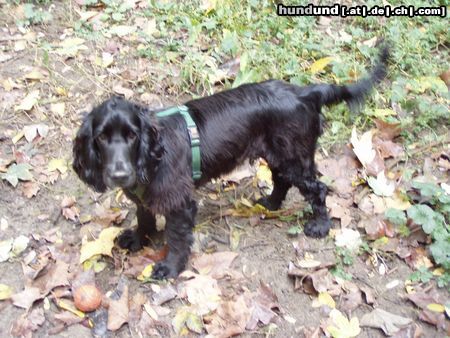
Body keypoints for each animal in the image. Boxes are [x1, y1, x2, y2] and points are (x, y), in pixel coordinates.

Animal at [72, 45, 388, 278]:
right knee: (281, 181)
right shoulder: (145, 196)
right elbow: (144, 218)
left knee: (317, 188)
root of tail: (304, 92)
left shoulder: (180, 203)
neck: (151, 155)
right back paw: (270, 204)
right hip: (278, 154)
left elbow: (177, 238)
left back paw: (320, 226)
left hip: (294, 157)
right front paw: (139, 239)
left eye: (132, 135)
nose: (119, 174)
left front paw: (170, 267)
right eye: (101, 137)